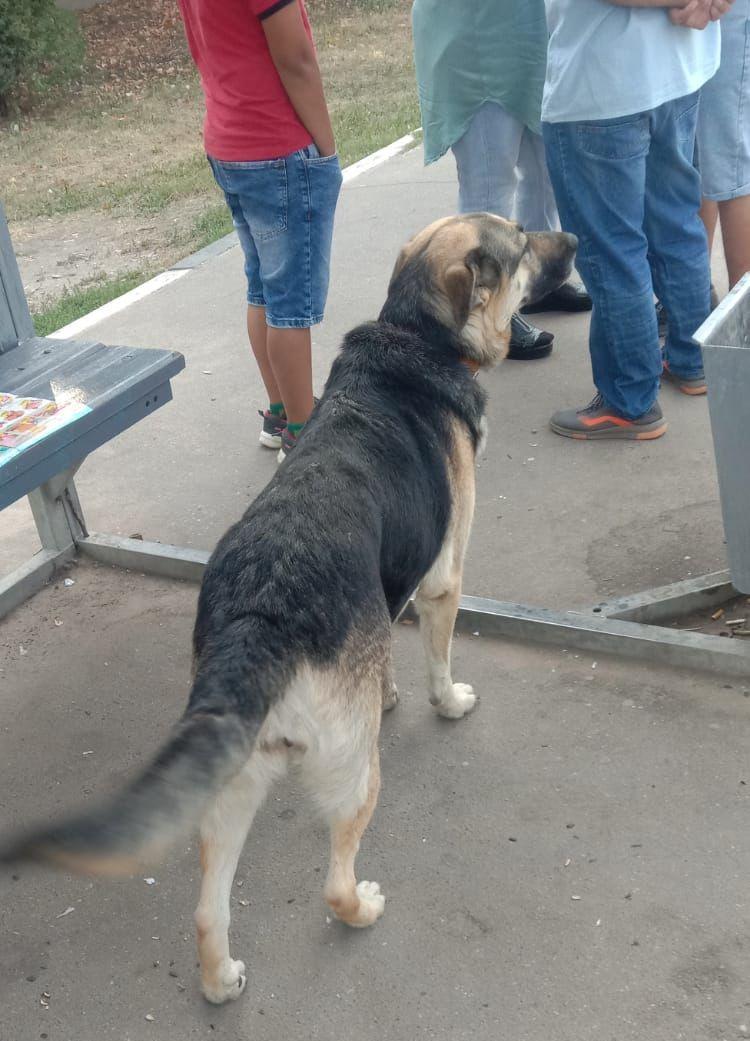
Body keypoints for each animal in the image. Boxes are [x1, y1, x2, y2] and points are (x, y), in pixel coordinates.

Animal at [0, 215, 579, 1003]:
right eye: (522, 242)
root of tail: (258, 616)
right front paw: (449, 701)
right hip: (354, 775)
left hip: (229, 785)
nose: (575, 243)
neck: (414, 336)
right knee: (332, 881)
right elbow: (437, 659)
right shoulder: (443, 582)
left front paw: (390, 691)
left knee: (207, 909)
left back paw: (220, 979)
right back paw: (361, 906)